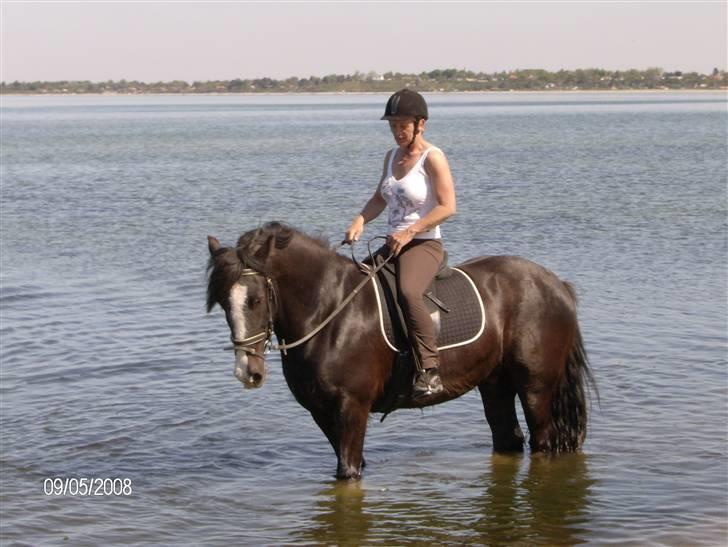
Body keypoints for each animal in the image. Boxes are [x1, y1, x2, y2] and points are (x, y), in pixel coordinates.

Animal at [206, 222, 596, 480]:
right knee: (509, 439)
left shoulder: (352, 408)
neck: (331, 310)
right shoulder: (322, 412)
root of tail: (555, 283)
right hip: (495, 383)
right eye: (223, 302)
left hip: (536, 387)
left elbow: (348, 473)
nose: (248, 372)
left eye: (256, 300)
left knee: (543, 443)